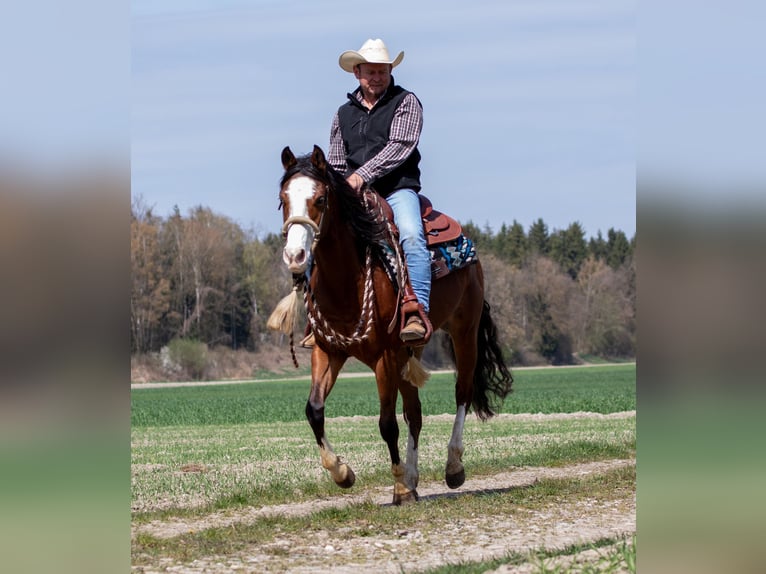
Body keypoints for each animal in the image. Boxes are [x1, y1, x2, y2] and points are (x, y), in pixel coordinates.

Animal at [270, 145, 513, 504]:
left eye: (321, 199)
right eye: (283, 199)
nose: (295, 255)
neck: (347, 280)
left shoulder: (383, 357)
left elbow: (387, 423)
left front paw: (397, 484)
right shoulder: (328, 351)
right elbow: (314, 410)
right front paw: (342, 472)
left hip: (463, 332)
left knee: (462, 394)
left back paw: (452, 467)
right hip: (409, 351)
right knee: (415, 413)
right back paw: (413, 478)